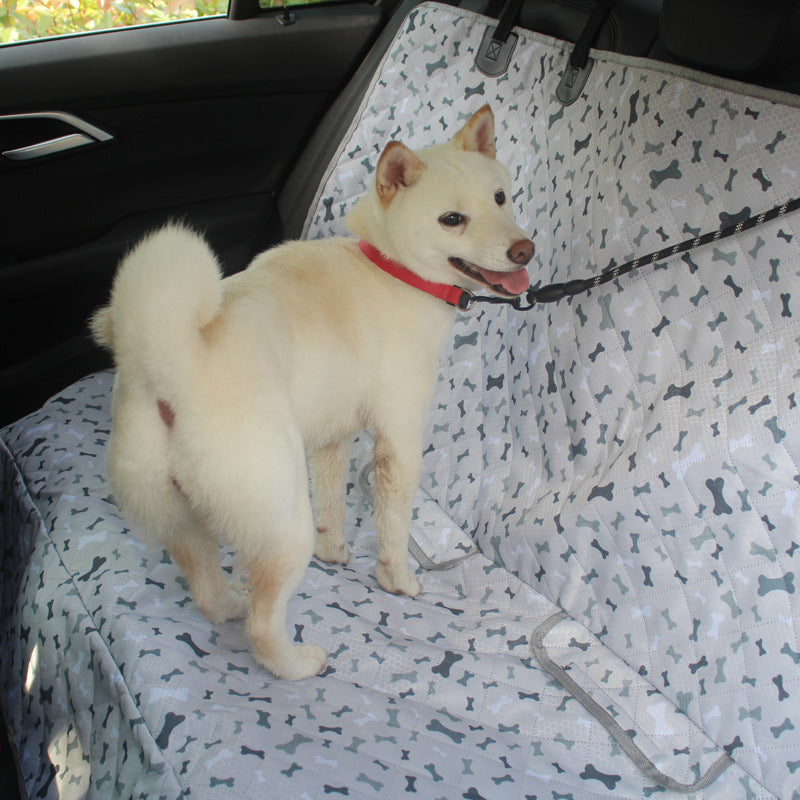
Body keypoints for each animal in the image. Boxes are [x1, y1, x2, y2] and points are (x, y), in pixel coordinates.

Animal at [92, 106, 532, 680]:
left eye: (500, 197)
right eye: (452, 219)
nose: (524, 249)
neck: (391, 267)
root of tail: (174, 367)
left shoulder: (331, 437)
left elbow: (332, 504)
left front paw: (335, 552)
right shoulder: (399, 442)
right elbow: (394, 528)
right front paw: (397, 581)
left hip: (179, 515)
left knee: (206, 584)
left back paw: (228, 603)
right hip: (280, 522)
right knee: (262, 623)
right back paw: (297, 663)